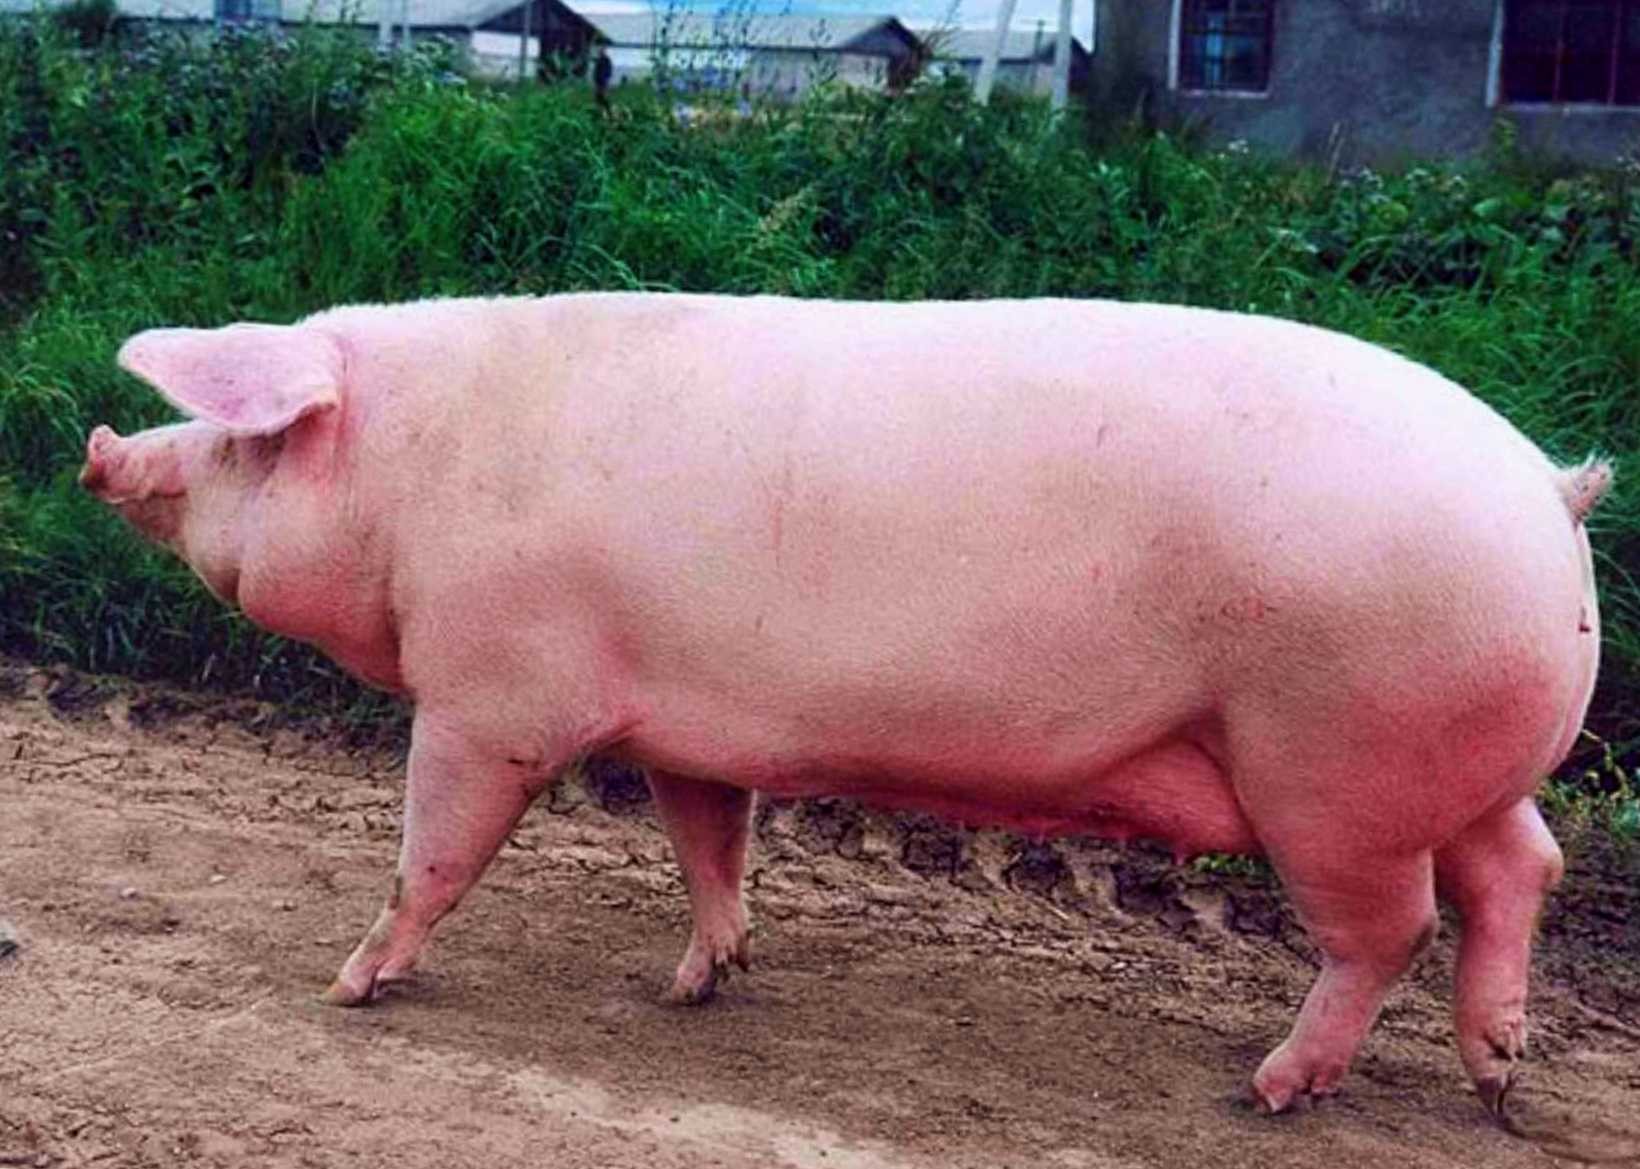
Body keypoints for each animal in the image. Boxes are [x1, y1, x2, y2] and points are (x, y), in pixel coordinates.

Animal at [80, 294, 1609, 1118]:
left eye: (242, 440)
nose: (102, 449)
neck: (417, 474)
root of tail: (1549, 488)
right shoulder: (684, 720)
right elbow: (710, 842)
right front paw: (695, 984)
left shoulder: (490, 692)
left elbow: (435, 849)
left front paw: (345, 985)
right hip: (1450, 768)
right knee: (1521, 867)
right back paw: (1498, 1079)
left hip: (1335, 769)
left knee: (1393, 926)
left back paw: (1269, 1089)